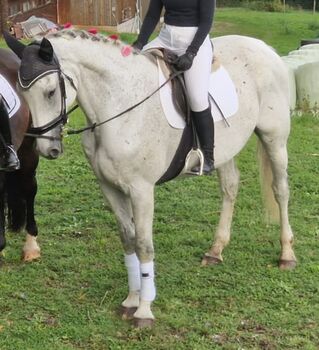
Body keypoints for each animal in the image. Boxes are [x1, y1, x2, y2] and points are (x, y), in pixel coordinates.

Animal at [5, 30, 298, 328]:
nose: (47, 149)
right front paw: (131, 300)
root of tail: (261, 45)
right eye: (24, 94)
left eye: (51, 91)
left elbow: (144, 245)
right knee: (230, 189)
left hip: (274, 138)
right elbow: (128, 240)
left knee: (281, 190)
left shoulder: (141, 190)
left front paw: (144, 310)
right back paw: (215, 251)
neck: (120, 105)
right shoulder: (109, 188)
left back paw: (286, 255)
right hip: (226, 150)